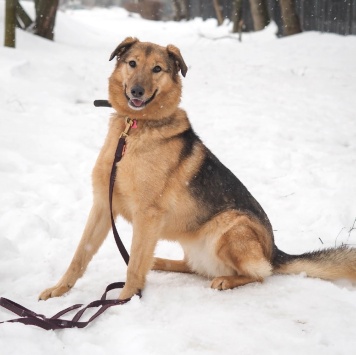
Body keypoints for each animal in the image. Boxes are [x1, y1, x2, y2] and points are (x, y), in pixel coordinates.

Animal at [39, 38, 356, 300]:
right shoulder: (103, 206)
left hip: (231, 225)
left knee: (260, 274)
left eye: (157, 69)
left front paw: (124, 301)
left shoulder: (147, 215)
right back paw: (161, 262)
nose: (137, 91)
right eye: (132, 63)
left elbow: (133, 267)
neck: (134, 130)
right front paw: (59, 290)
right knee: (192, 266)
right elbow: (80, 255)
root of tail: (275, 252)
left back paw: (226, 280)